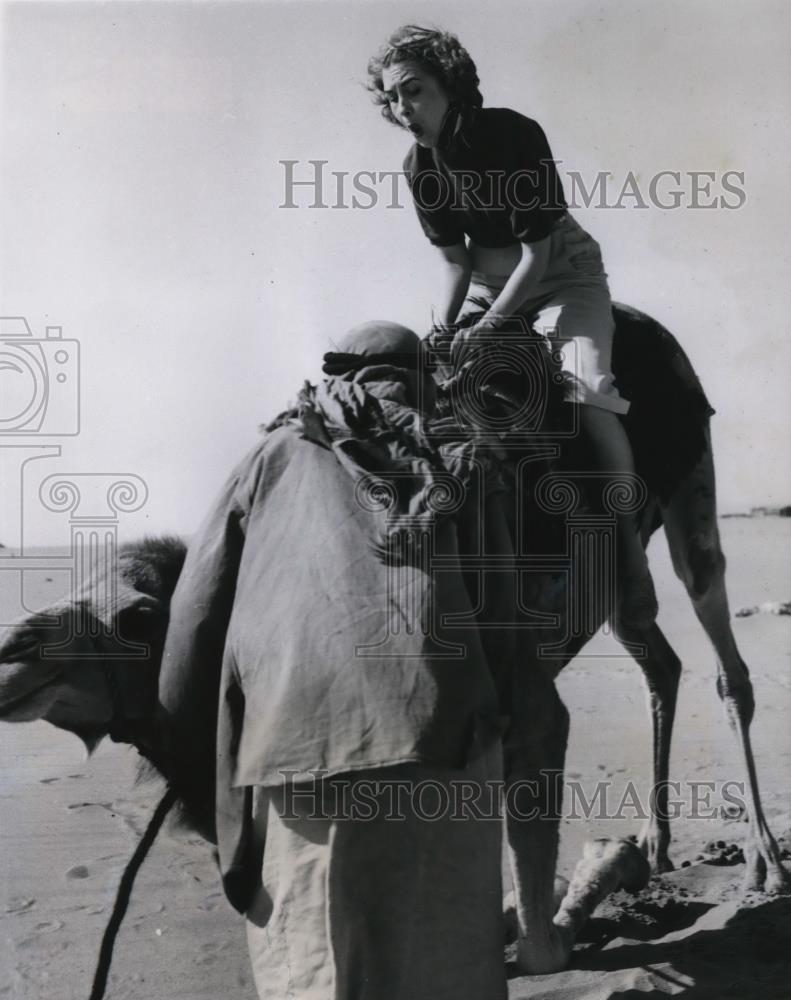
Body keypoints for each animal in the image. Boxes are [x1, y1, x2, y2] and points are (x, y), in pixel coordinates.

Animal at [0, 302, 788, 984]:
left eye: (136, 619)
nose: (14, 651)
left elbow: (538, 927)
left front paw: (579, 889)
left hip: (690, 489)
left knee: (723, 652)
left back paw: (763, 862)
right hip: (616, 581)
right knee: (661, 659)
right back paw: (659, 843)